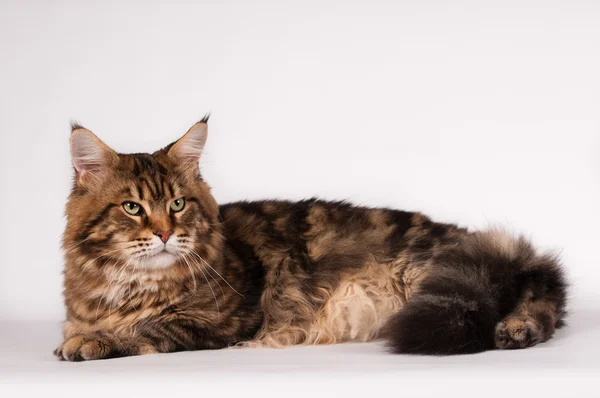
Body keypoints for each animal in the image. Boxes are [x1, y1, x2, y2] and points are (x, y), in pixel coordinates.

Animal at [55, 117, 568, 360]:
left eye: (178, 204)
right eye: (133, 208)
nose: (164, 233)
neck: (129, 287)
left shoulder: (226, 320)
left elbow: (147, 329)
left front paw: (95, 342)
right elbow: (85, 327)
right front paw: (82, 336)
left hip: (432, 274)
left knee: (539, 293)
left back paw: (517, 329)